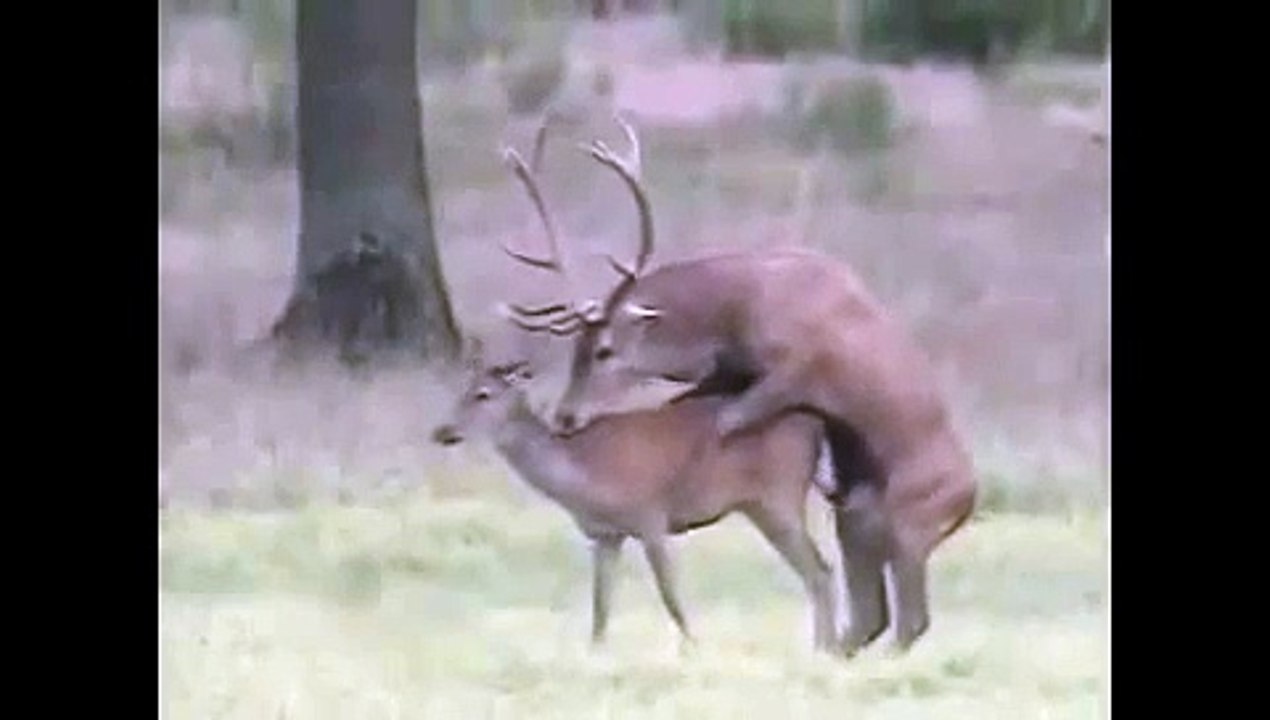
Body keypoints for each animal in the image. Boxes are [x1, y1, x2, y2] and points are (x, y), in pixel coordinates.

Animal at [429, 120, 844, 653]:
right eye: (459, 390)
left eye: (483, 395)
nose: (442, 432)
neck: (585, 475)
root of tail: (814, 422)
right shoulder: (603, 536)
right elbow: (600, 616)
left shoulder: (650, 514)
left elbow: (673, 602)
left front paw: (695, 651)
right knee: (819, 572)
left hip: (777, 495)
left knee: (821, 572)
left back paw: (827, 650)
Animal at [505, 115, 978, 657]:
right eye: (573, 349)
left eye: (605, 350)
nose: (564, 416)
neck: (730, 315)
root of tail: (969, 499)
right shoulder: (723, 375)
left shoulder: (796, 370)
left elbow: (727, 422)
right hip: (858, 520)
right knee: (871, 614)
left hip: (911, 520)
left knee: (909, 618)